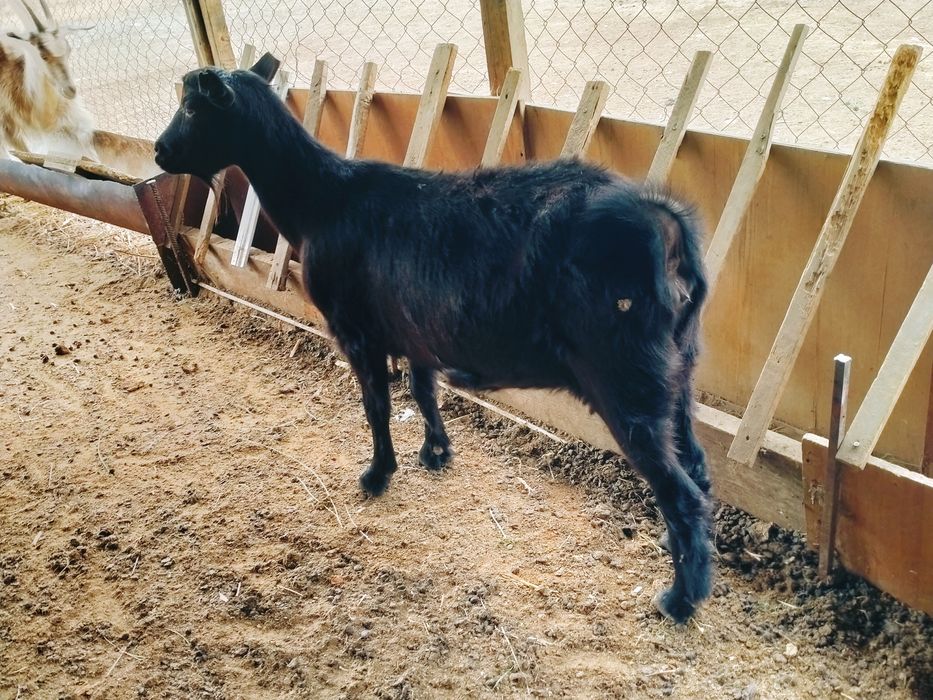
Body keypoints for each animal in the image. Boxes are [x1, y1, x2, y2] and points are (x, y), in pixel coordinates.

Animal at [154, 56, 713, 624]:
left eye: (194, 108)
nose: (159, 151)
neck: (324, 203)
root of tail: (669, 228)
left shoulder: (356, 330)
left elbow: (376, 405)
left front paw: (377, 474)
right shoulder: (415, 329)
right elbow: (423, 390)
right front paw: (436, 452)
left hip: (626, 380)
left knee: (681, 493)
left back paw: (680, 599)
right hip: (679, 373)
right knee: (697, 470)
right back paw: (681, 555)